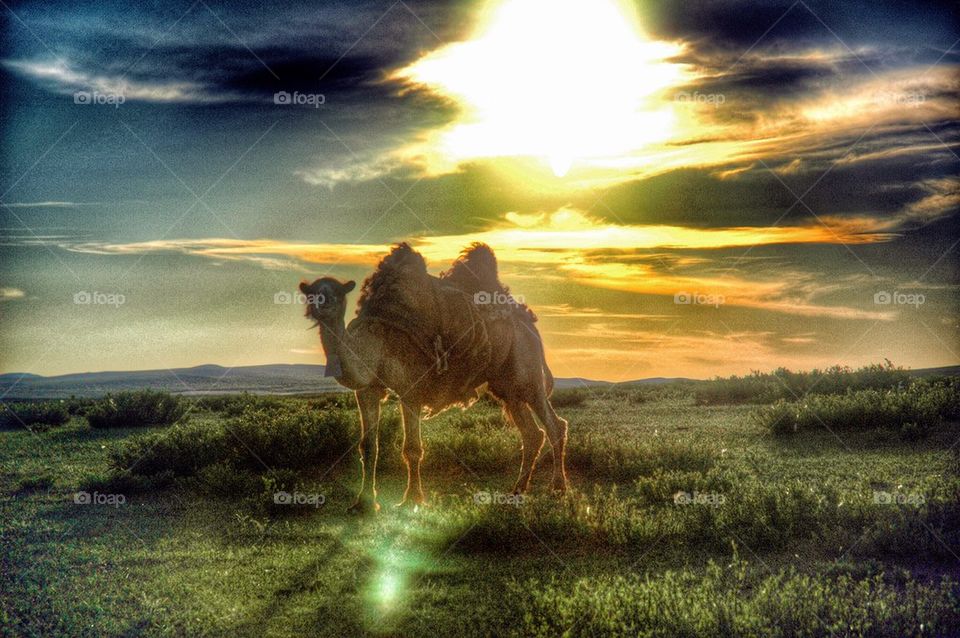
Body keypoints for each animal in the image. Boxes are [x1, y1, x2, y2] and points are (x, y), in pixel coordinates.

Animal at [300, 242, 568, 512]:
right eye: (312, 293)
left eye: (335, 294)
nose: (319, 307)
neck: (376, 341)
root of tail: (531, 327)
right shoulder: (367, 390)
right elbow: (368, 446)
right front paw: (364, 503)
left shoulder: (411, 389)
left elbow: (412, 448)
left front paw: (412, 499)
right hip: (507, 388)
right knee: (532, 434)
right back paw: (516, 492)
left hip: (529, 377)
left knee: (554, 426)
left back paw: (557, 488)